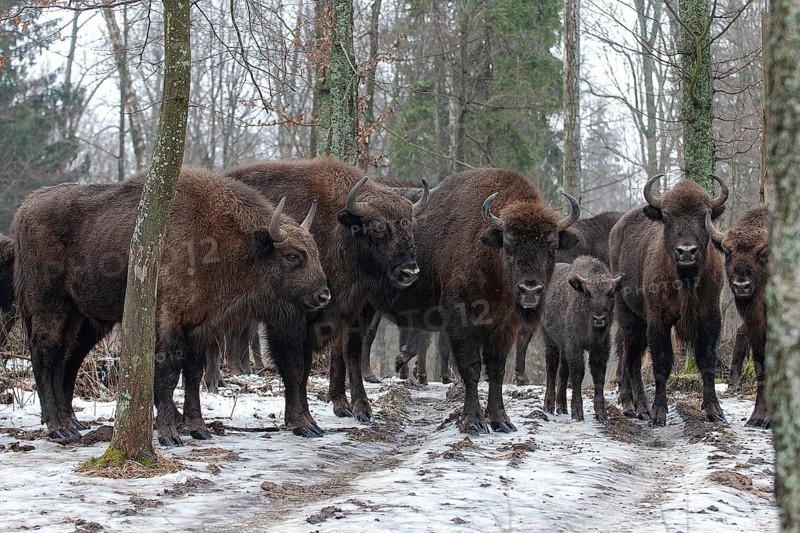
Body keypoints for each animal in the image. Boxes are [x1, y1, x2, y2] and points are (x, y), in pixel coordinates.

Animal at [12, 168, 328, 443]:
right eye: (292, 255)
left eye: (315, 251)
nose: (323, 296)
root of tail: (24, 210)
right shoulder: (168, 320)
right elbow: (167, 372)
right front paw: (169, 434)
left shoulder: (199, 325)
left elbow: (193, 373)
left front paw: (199, 428)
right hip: (49, 305)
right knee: (45, 354)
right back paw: (58, 427)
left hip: (83, 317)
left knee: (68, 358)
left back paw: (71, 421)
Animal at [226, 157, 427, 436]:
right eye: (378, 228)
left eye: (409, 224)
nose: (410, 271)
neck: (341, 231)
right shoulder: (291, 320)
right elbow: (296, 368)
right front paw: (302, 423)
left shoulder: (352, 312)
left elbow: (346, 355)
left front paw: (361, 409)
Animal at [541, 256, 621, 421]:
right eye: (587, 293)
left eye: (610, 293)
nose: (599, 319)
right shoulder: (574, 344)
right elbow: (578, 373)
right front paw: (578, 413)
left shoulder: (601, 346)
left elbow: (598, 374)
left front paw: (601, 414)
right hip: (549, 340)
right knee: (551, 368)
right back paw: (549, 406)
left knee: (563, 370)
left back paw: (562, 407)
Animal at [609, 174, 728, 426]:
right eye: (666, 217)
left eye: (704, 216)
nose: (686, 252)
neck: (686, 280)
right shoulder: (659, 321)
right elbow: (662, 364)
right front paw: (658, 414)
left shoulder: (710, 318)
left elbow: (707, 362)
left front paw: (715, 411)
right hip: (628, 314)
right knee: (632, 358)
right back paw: (639, 408)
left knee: (628, 354)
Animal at [707, 206, 769, 428]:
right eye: (727, 251)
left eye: (762, 252)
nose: (742, 286)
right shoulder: (756, 332)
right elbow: (762, 371)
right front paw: (757, 419)